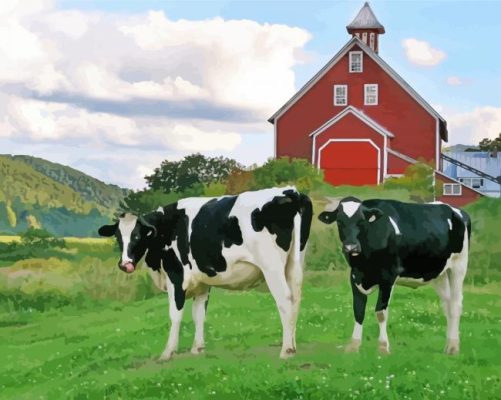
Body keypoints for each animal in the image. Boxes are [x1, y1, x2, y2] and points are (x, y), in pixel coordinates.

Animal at [96, 188, 312, 360]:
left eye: (137, 236)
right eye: (118, 237)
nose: (125, 264)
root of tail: (290, 191)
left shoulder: (176, 277)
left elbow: (175, 315)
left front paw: (167, 352)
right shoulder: (201, 283)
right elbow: (199, 314)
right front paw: (197, 348)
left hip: (272, 266)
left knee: (284, 299)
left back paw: (286, 350)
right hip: (294, 263)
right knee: (296, 299)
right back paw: (293, 345)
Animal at [318, 195, 470, 354]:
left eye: (361, 221)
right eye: (339, 222)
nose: (351, 247)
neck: (365, 262)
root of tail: (458, 211)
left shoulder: (388, 277)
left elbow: (381, 312)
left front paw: (383, 346)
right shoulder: (355, 277)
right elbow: (358, 311)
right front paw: (354, 345)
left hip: (459, 266)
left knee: (456, 305)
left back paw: (453, 347)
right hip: (439, 274)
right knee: (447, 305)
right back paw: (448, 345)